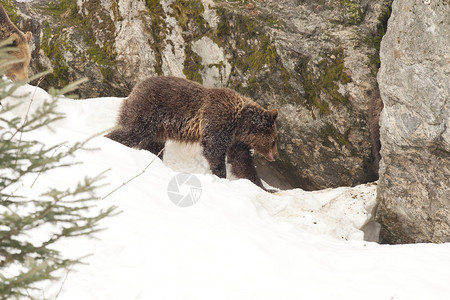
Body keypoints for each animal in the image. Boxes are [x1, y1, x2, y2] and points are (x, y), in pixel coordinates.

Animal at [107, 76, 280, 191]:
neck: (240, 124)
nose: (276, 155)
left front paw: (265, 187)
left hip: (158, 128)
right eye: (274, 139)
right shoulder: (218, 120)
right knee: (131, 131)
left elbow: (243, 161)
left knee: (153, 145)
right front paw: (220, 175)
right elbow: (213, 149)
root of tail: (136, 87)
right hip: (148, 109)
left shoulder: (236, 140)